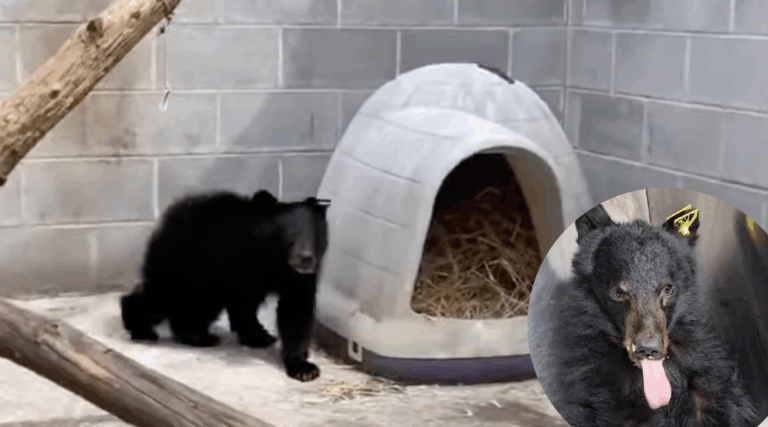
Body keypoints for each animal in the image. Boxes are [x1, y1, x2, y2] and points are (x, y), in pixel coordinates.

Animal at [120, 189, 331, 382]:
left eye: (313, 236)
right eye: (289, 237)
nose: (305, 259)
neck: (274, 261)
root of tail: (165, 219)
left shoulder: (298, 278)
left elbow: (296, 309)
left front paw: (303, 366)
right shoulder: (234, 262)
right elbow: (244, 305)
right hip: (186, 263)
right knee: (166, 294)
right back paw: (145, 328)